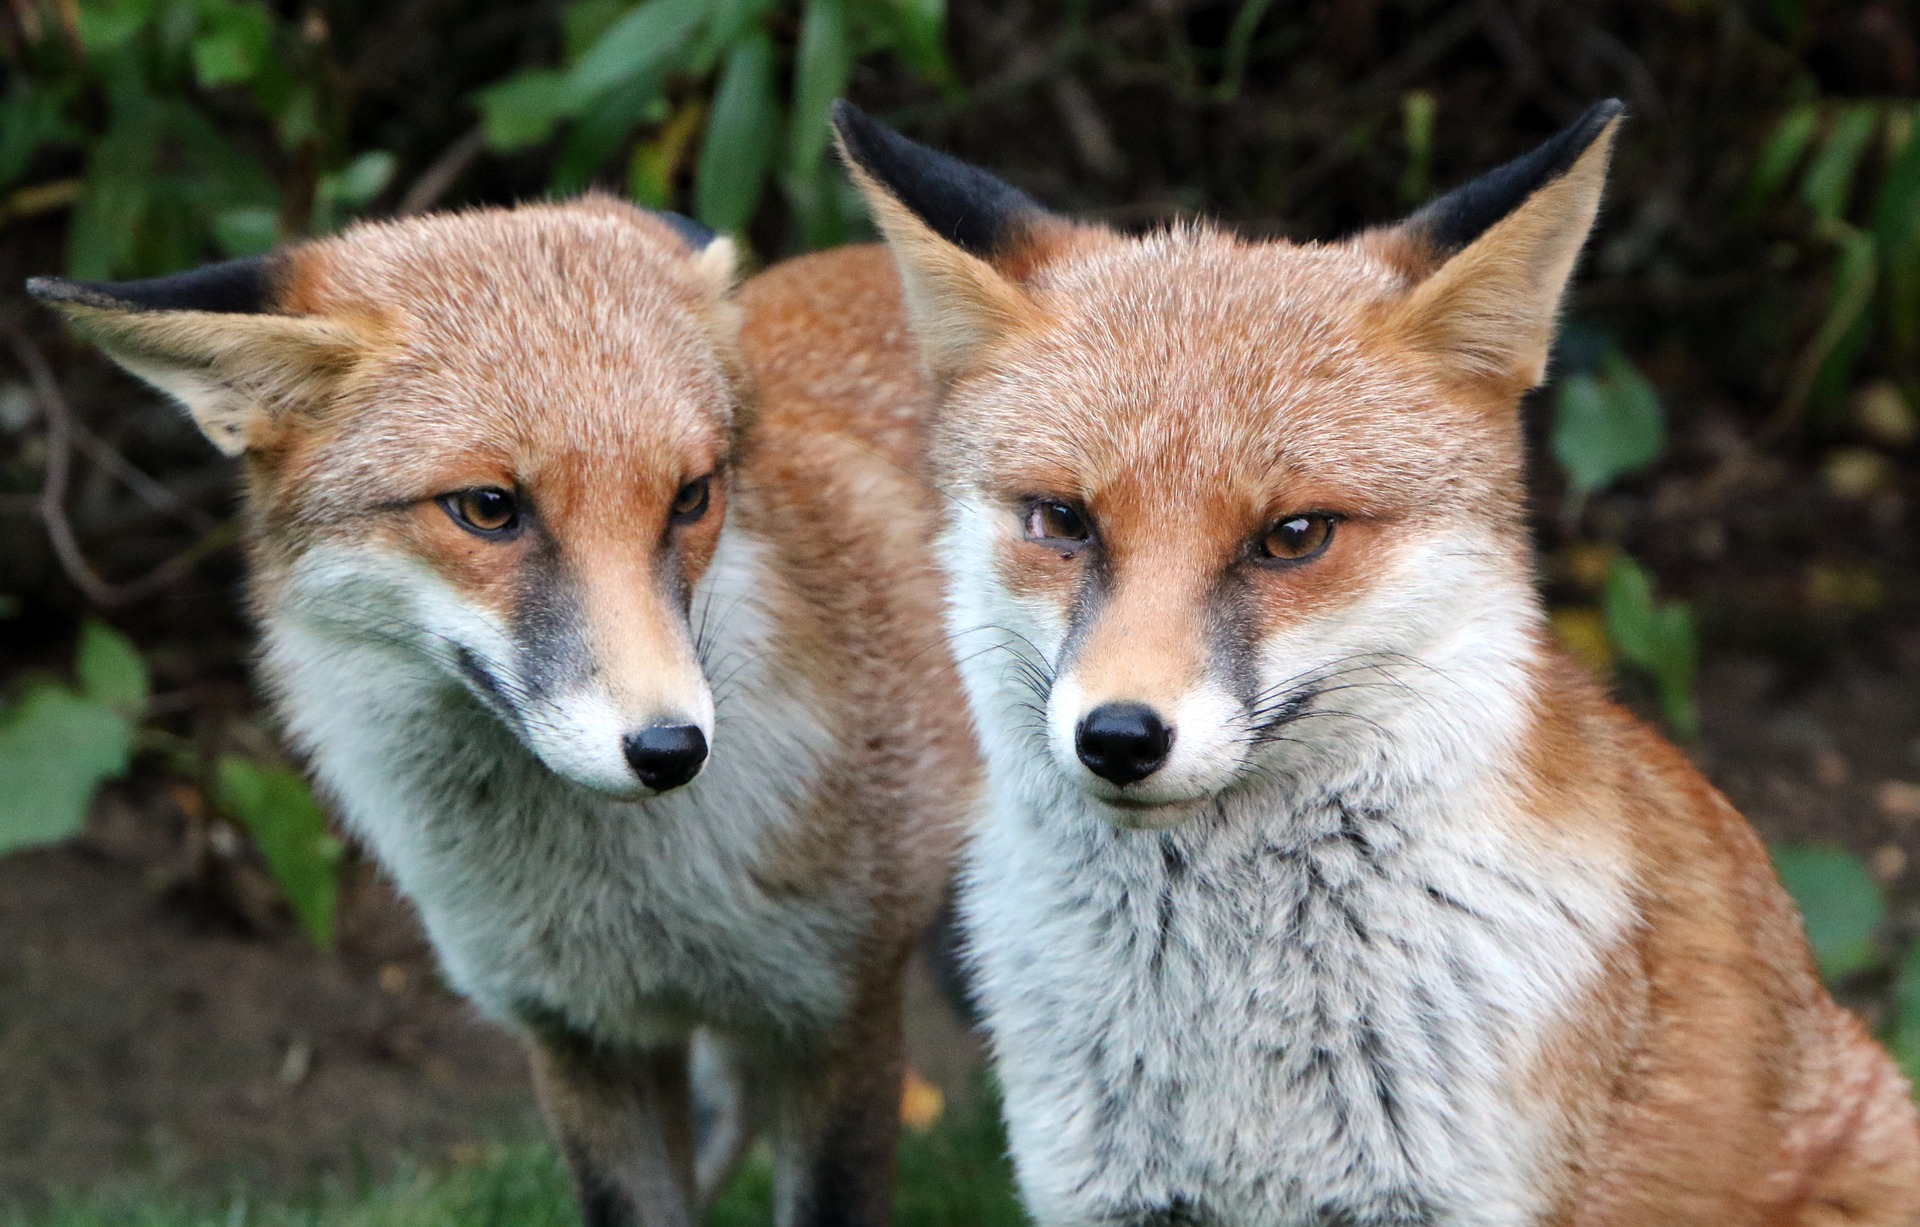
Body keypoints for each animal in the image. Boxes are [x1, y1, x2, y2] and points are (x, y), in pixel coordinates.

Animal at [33, 201, 975, 1227]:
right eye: (488, 508)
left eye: (691, 496)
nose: (672, 749)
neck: (628, 903)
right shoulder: (583, 1034)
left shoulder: (840, 1016)